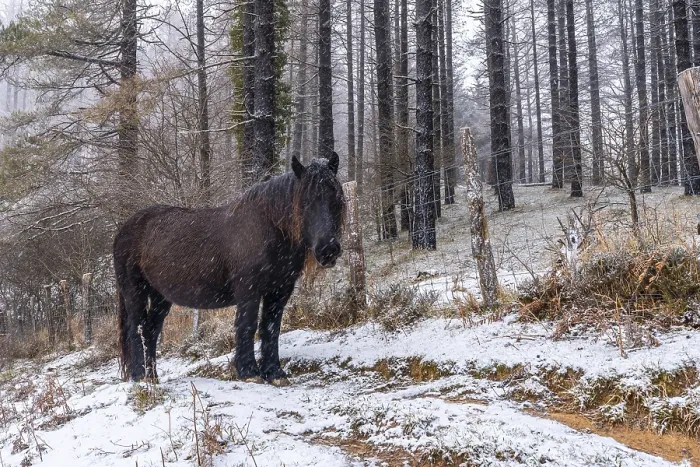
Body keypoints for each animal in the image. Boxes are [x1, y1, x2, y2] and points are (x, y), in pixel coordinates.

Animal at [113, 153, 345, 384]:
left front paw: (274, 373)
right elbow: (247, 325)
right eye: (305, 202)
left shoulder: (279, 291)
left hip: (160, 297)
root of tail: (124, 229)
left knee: (150, 331)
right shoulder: (248, 290)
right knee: (137, 330)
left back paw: (152, 377)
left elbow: (271, 328)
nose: (328, 250)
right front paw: (249, 372)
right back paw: (139, 376)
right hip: (135, 292)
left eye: (335, 198)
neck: (267, 228)